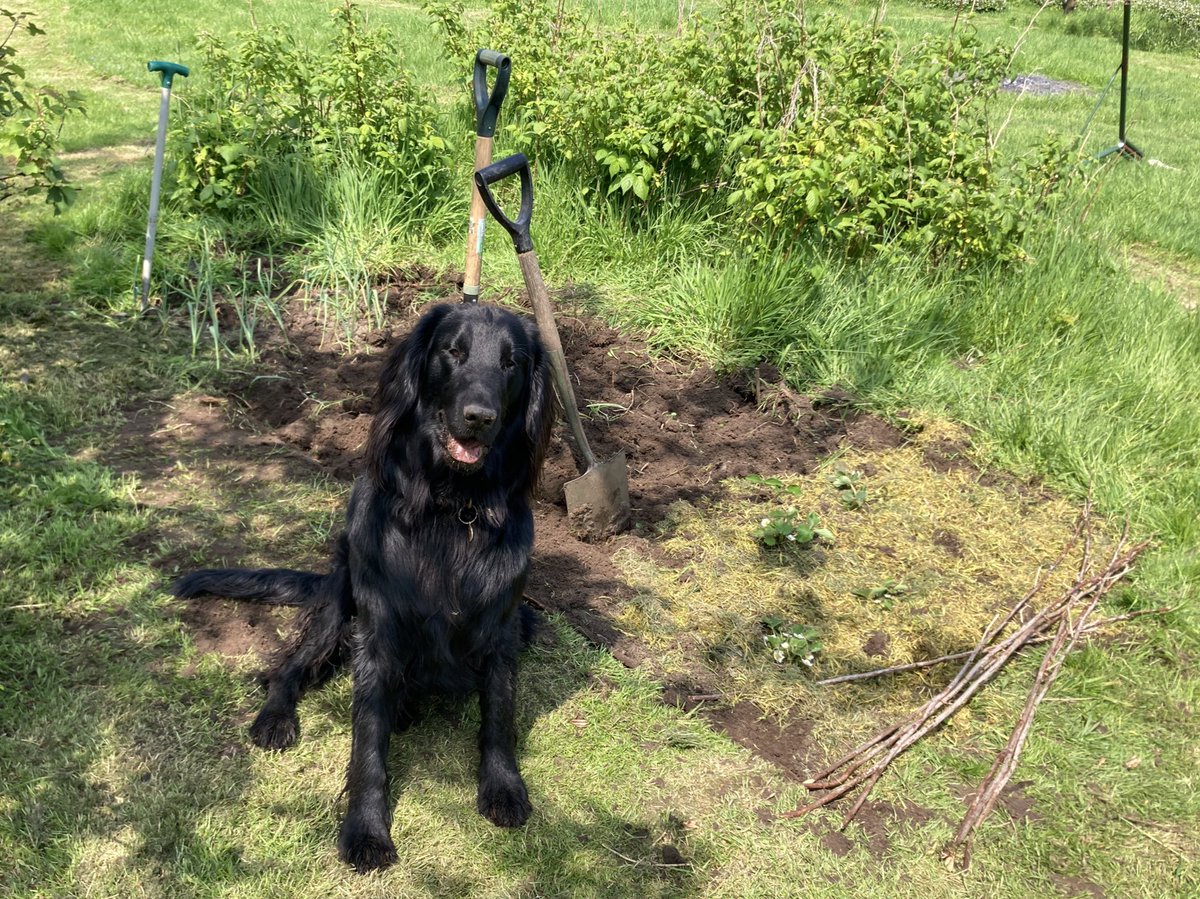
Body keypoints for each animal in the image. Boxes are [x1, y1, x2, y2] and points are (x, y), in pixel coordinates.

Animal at [171, 303, 554, 868]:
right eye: (453, 351)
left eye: (512, 363)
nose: (480, 416)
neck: (451, 508)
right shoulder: (377, 632)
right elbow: (367, 744)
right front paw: (366, 829)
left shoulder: (503, 626)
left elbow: (498, 715)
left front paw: (503, 786)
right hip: (339, 605)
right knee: (288, 669)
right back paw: (276, 718)